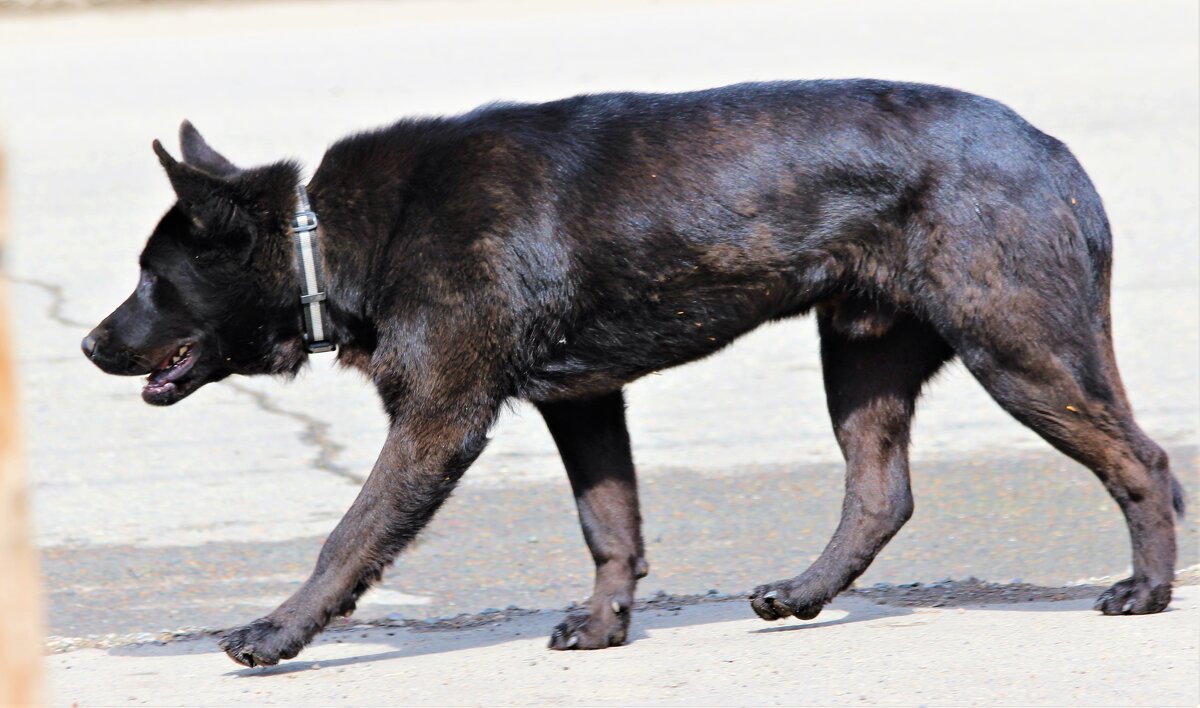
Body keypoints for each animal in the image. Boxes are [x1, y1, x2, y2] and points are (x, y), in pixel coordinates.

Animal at [82, 80, 1180, 667]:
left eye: (151, 279)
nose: (89, 346)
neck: (329, 239)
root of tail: (1056, 153)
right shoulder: (582, 403)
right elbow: (610, 526)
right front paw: (607, 625)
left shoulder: (438, 419)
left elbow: (348, 539)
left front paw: (276, 634)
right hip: (864, 357)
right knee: (882, 493)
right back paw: (803, 595)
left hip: (1023, 352)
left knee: (1146, 464)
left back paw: (1148, 591)